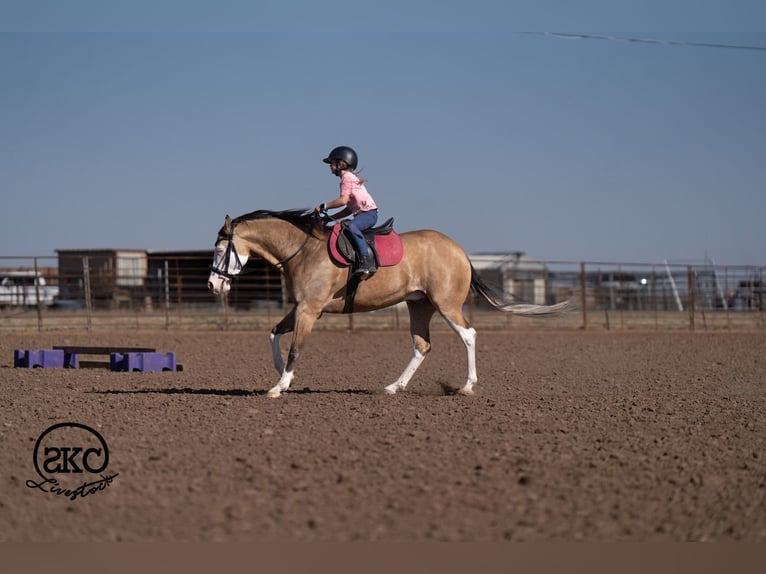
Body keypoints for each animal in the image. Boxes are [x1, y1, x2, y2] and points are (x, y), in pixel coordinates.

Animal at [207, 209, 568, 398]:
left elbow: (296, 347)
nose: (213, 284)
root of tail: (459, 250)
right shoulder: (302, 308)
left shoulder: (310, 310)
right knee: (422, 345)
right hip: (419, 306)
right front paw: (285, 376)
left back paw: (466, 387)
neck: (302, 249)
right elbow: (273, 333)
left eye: (221, 250)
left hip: (447, 305)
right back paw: (395, 386)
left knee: (468, 336)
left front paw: (279, 385)